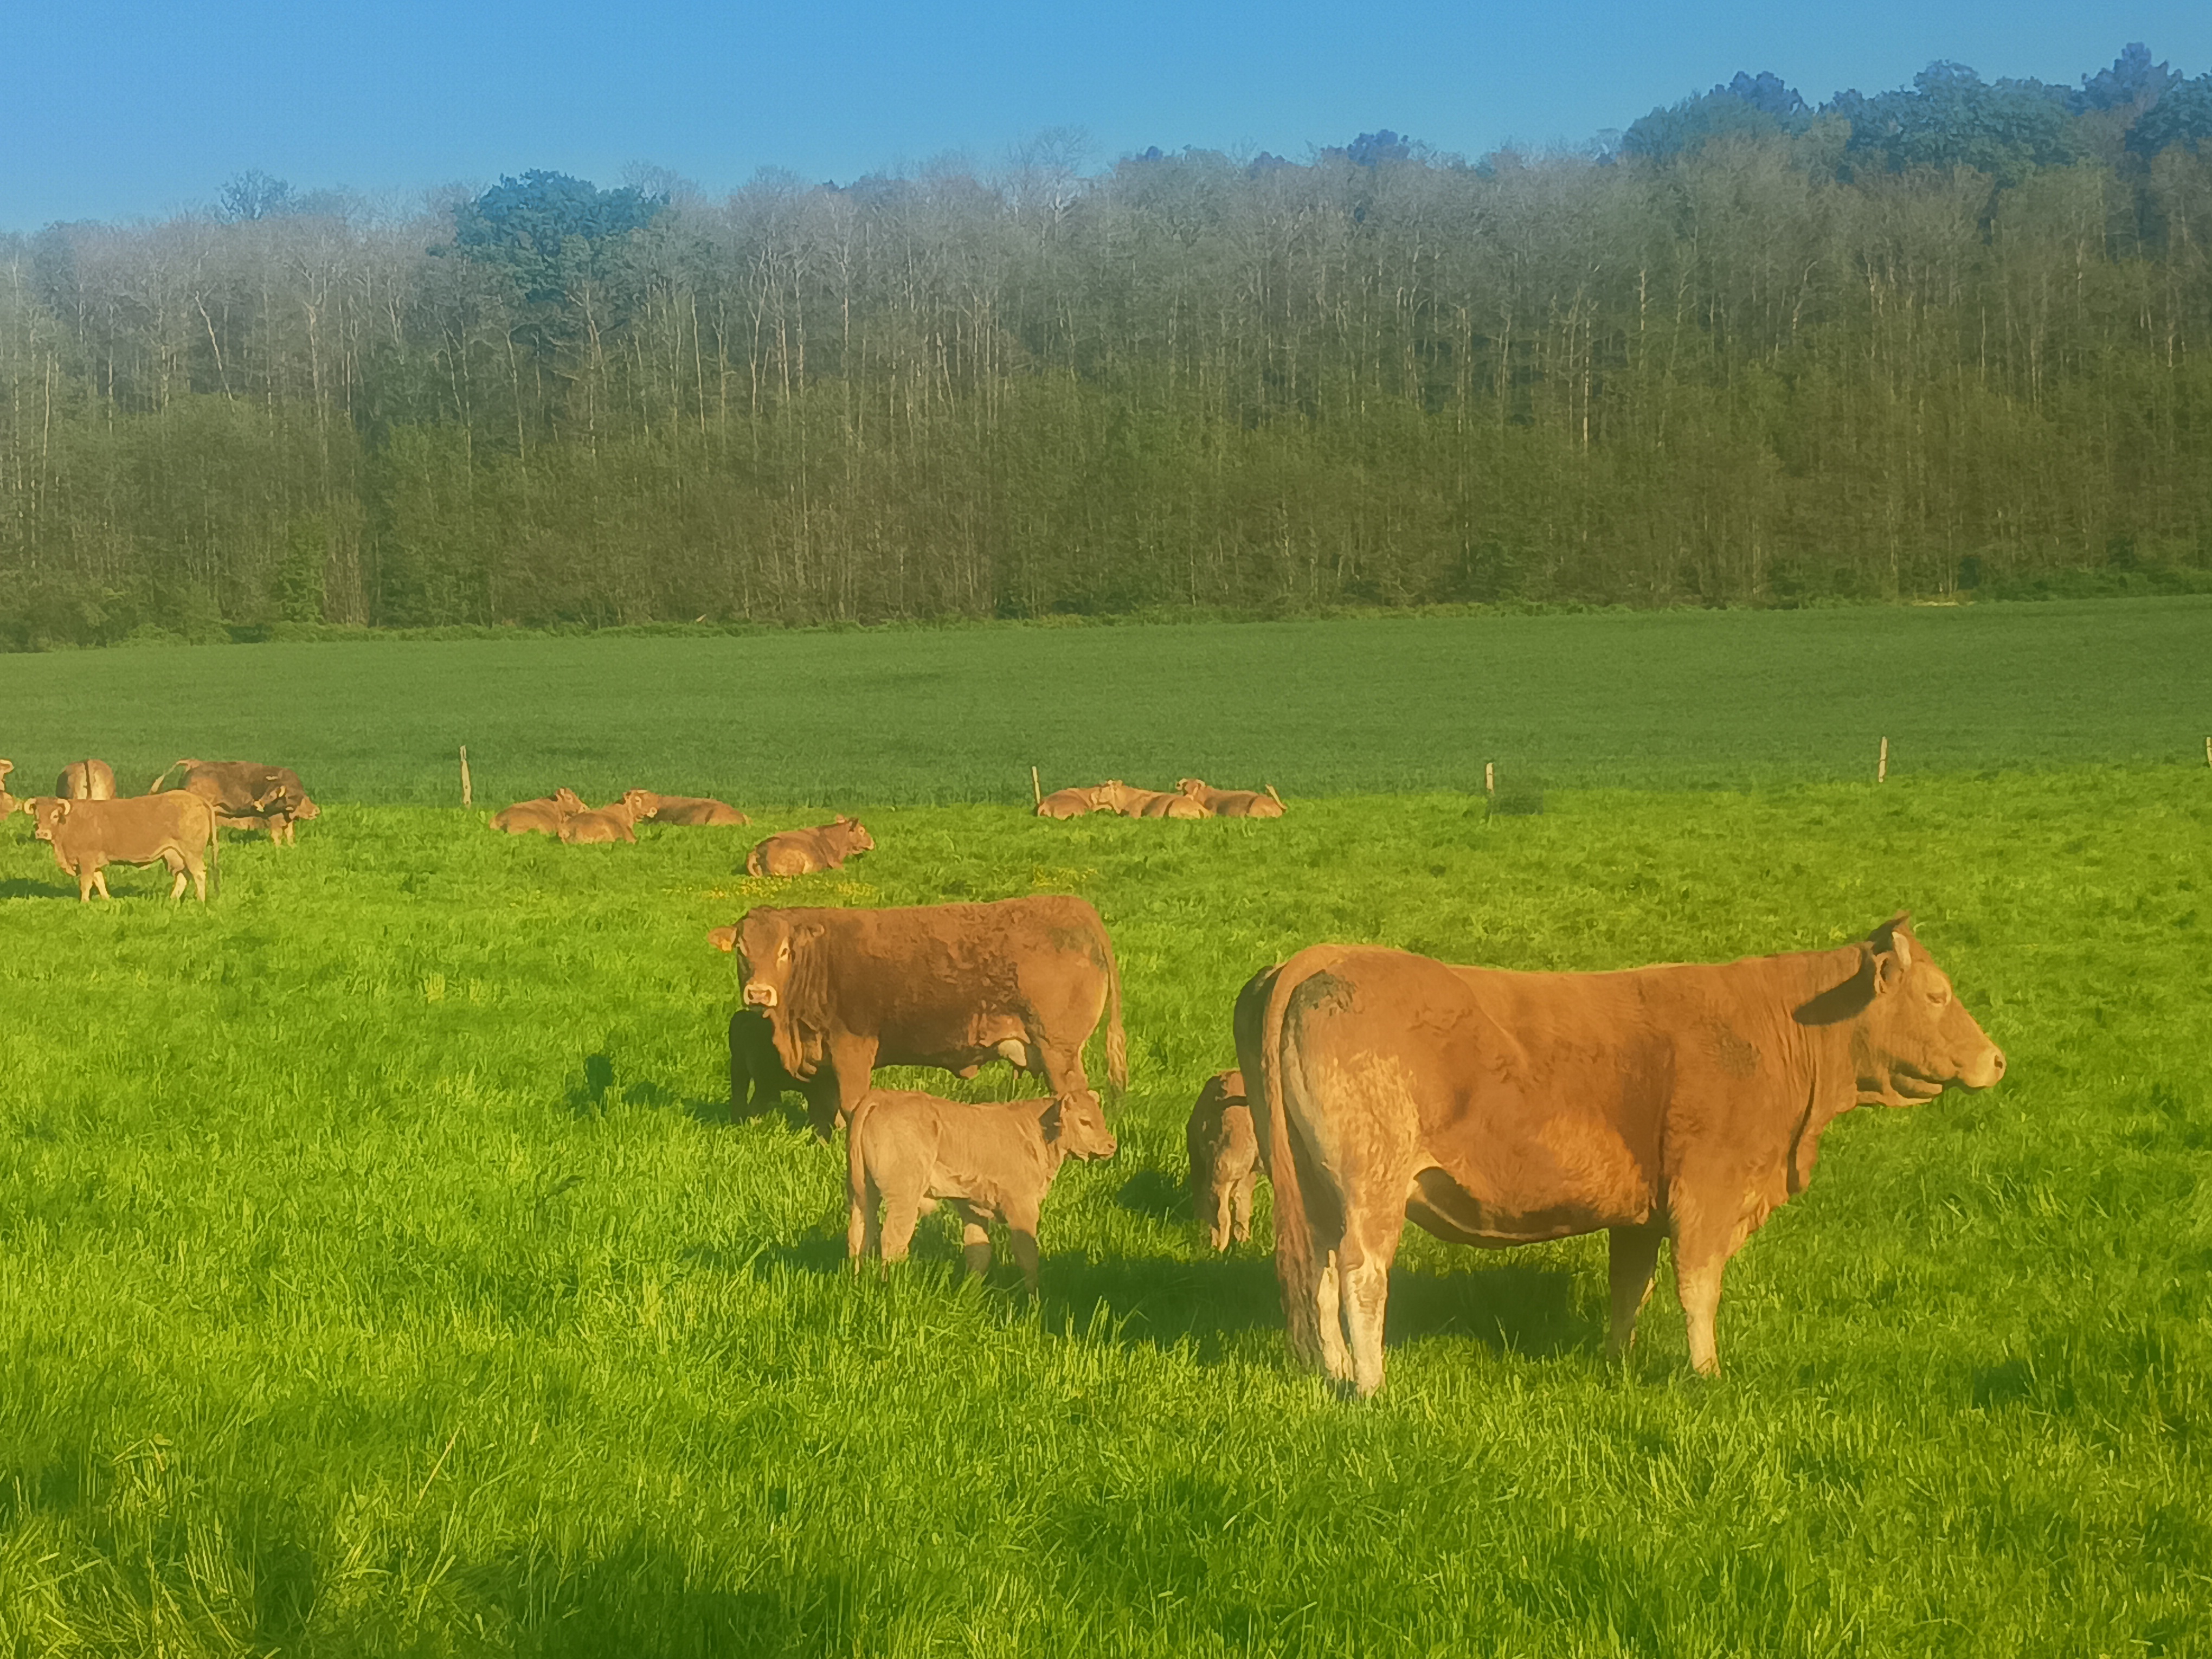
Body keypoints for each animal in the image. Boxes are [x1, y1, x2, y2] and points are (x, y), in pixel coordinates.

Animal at [31, 793, 220, 902]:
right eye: (37, 815)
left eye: (55, 815)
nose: (42, 833)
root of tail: (197, 799)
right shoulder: (94, 861)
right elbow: (99, 880)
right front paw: (107, 899)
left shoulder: (87, 859)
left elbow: (86, 882)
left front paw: (84, 902)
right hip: (175, 854)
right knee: (183, 876)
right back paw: (172, 899)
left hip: (191, 852)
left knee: (198, 874)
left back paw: (201, 900)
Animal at [153, 758, 319, 844]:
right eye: (291, 796)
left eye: (302, 795)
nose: (316, 810)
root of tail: (195, 763)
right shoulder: (275, 820)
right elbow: (277, 838)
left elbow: (290, 837)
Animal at [716, 895, 1128, 1138]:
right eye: (741, 950)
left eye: (784, 951)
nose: (758, 993)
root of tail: (1073, 905)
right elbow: (825, 1108)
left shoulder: (853, 1046)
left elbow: (852, 1106)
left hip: (1058, 1049)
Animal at [845, 1087, 1118, 1290]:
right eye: (1085, 1121)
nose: (1111, 1145)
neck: (1035, 1132)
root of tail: (882, 1096)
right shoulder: (1023, 1207)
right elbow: (1028, 1255)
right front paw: (1033, 1300)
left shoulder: (973, 1208)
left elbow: (979, 1252)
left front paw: (970, 1294)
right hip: (904, 1197)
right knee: (893, 1241)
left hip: (863, 1194)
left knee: (860, 1235)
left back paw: (857, 1281)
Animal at [1235, 915, 2005, 1398]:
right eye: (1938, 994)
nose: (1997, 1059)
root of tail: (1326, 956)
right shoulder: (1706, 1192)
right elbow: (1698, 1287)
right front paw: (1706, 1374)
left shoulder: (1642, 1210)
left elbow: (1630, 1286)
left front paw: (1617, 1362)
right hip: (1372, 1183)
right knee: (1362, 1277)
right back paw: (1371, 1383)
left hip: (1318, 1188)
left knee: (1320, 1272)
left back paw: (1335, 1372)